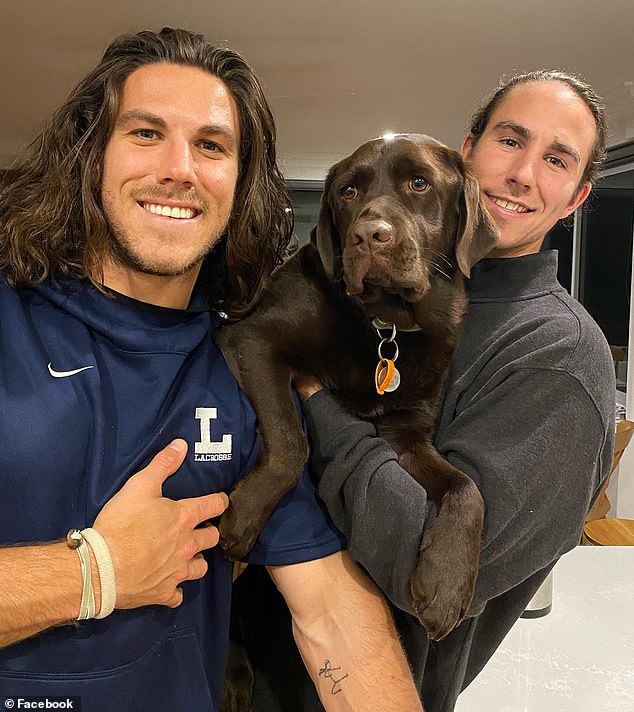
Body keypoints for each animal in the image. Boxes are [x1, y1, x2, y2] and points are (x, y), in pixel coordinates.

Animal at [215, 135, 496, 640]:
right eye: (348, 192)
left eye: (419, 183)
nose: (369, 235)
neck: (388, 327)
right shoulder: (253, 339)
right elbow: (292, 442)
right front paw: (244, 515)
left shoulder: (407, 433)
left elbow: (468, 488)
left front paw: (447, 584)